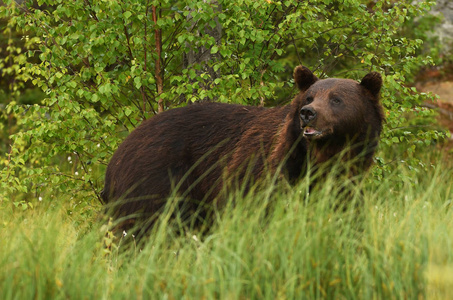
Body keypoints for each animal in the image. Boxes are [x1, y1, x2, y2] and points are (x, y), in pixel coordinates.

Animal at [101, 65, 382, 230]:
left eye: (336, 99)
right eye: (310, 96)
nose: (307, 113)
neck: (325, 155)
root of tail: (117, 154)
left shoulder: (347, 180)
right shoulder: (264, 172)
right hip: (154, 181)